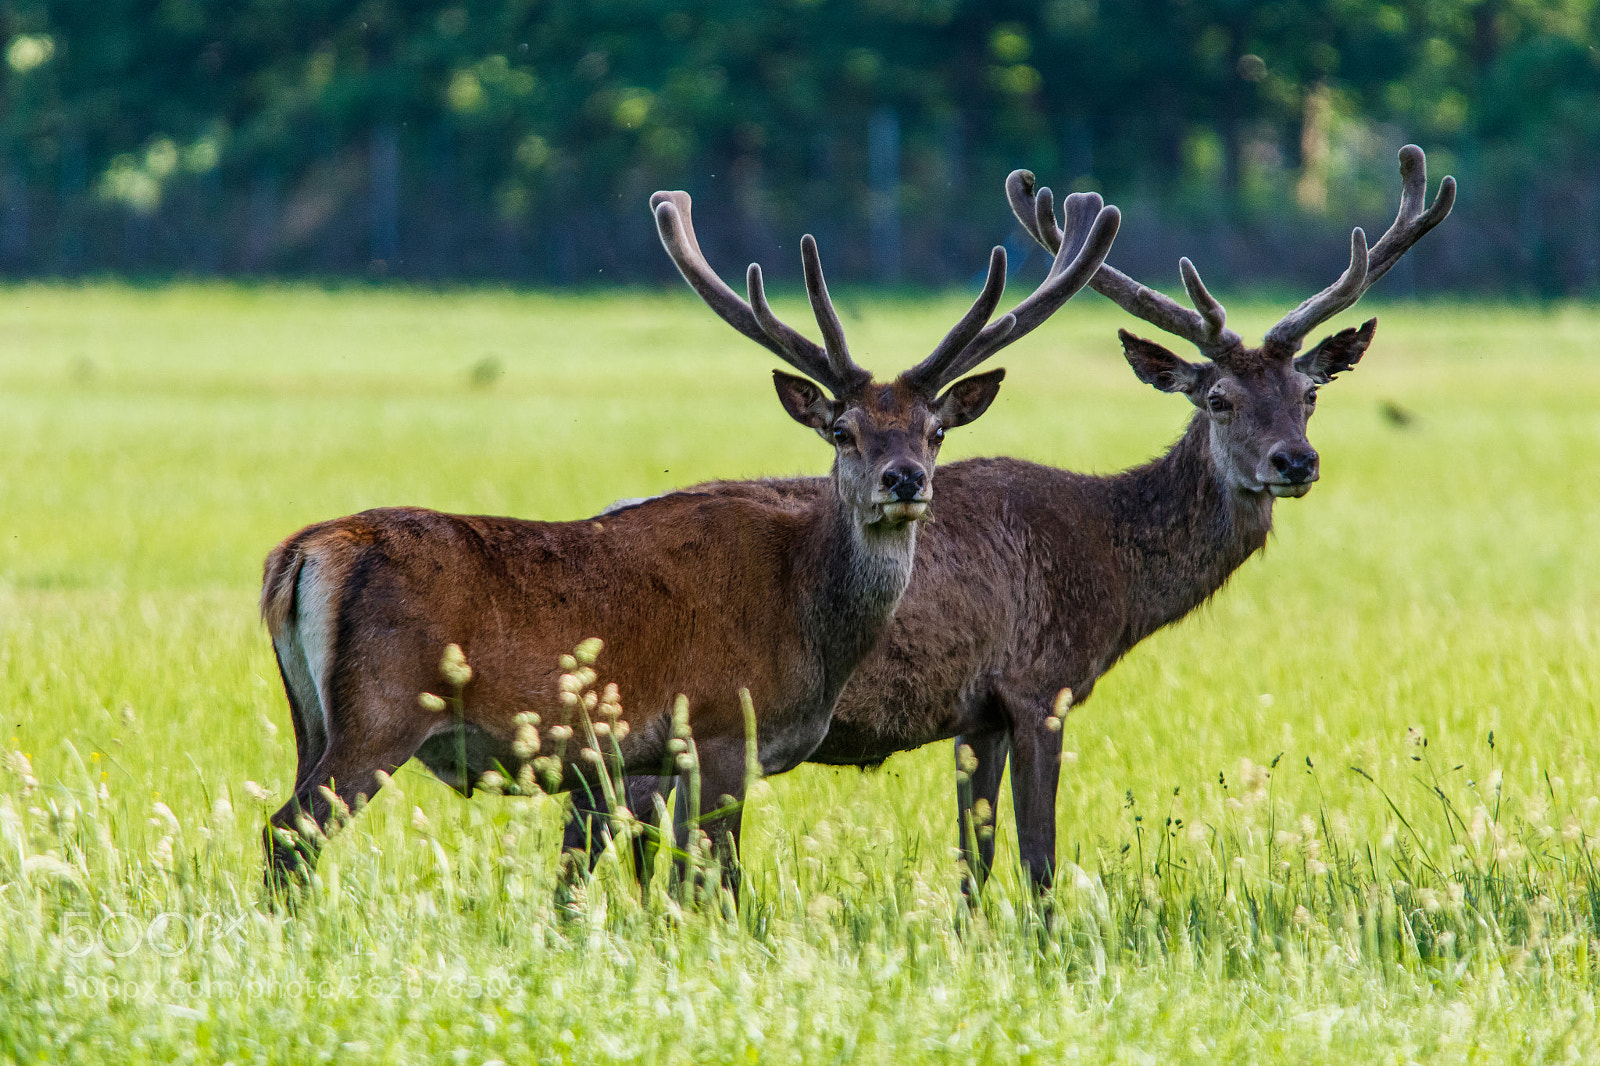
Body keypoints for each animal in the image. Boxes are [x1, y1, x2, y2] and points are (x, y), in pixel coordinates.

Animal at [258, 188, 1121, 896]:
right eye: (843, 430)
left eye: (935, 431)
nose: (904, 479)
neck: (808, 622)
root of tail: (300, 555)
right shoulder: (719, 729)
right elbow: (718, 881)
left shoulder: (668, 757)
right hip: (381, 712)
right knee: (287, 834)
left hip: (312, 717)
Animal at [579, 146, 1453, 898]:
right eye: (1218, 398)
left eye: (1310, 394)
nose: (1294, 462)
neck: (1112, 572)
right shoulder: (1041, 682)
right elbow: (1039, 855)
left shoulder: (980, 714)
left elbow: (979, 854)